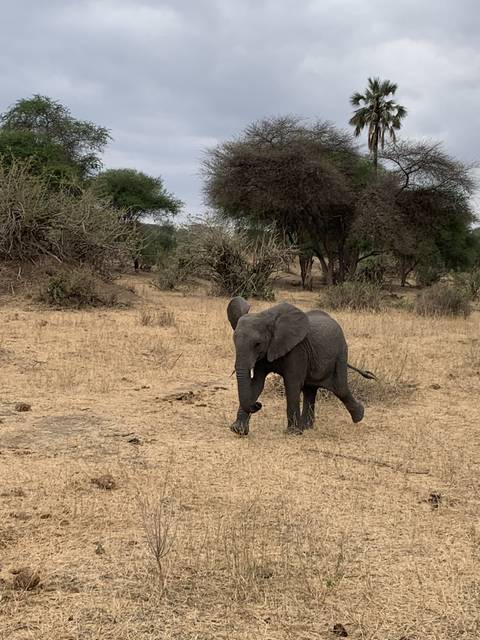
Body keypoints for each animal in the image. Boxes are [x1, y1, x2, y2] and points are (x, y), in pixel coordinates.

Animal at [227, 296, 376, 436]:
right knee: (310, 390)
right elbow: (256, 384)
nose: (258, 404)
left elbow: (292, 384)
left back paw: (359, 416)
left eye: (257, 344)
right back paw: (307, 427)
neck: (267, 317)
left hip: (341, 352)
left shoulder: (297, 350)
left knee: (340, 388)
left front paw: (293, 432)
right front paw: (237, 430)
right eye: (234, 341)